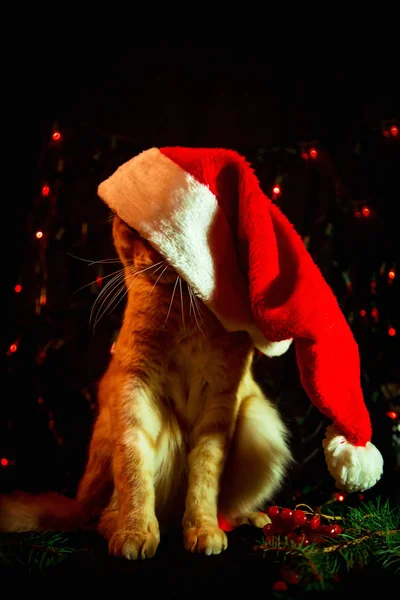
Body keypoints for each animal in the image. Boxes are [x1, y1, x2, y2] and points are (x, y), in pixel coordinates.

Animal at [0, 214, 294, 556]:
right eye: (136, 230)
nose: (158, 255)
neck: (184, 311)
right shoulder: (136, 391)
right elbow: (134, 472)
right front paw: (135, 531)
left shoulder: (220, 399)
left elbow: (205, 476)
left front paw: (202, 527)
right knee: (97, 516)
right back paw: (124, 526)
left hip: (257, 415)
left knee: (224, 509)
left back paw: (245, 518)